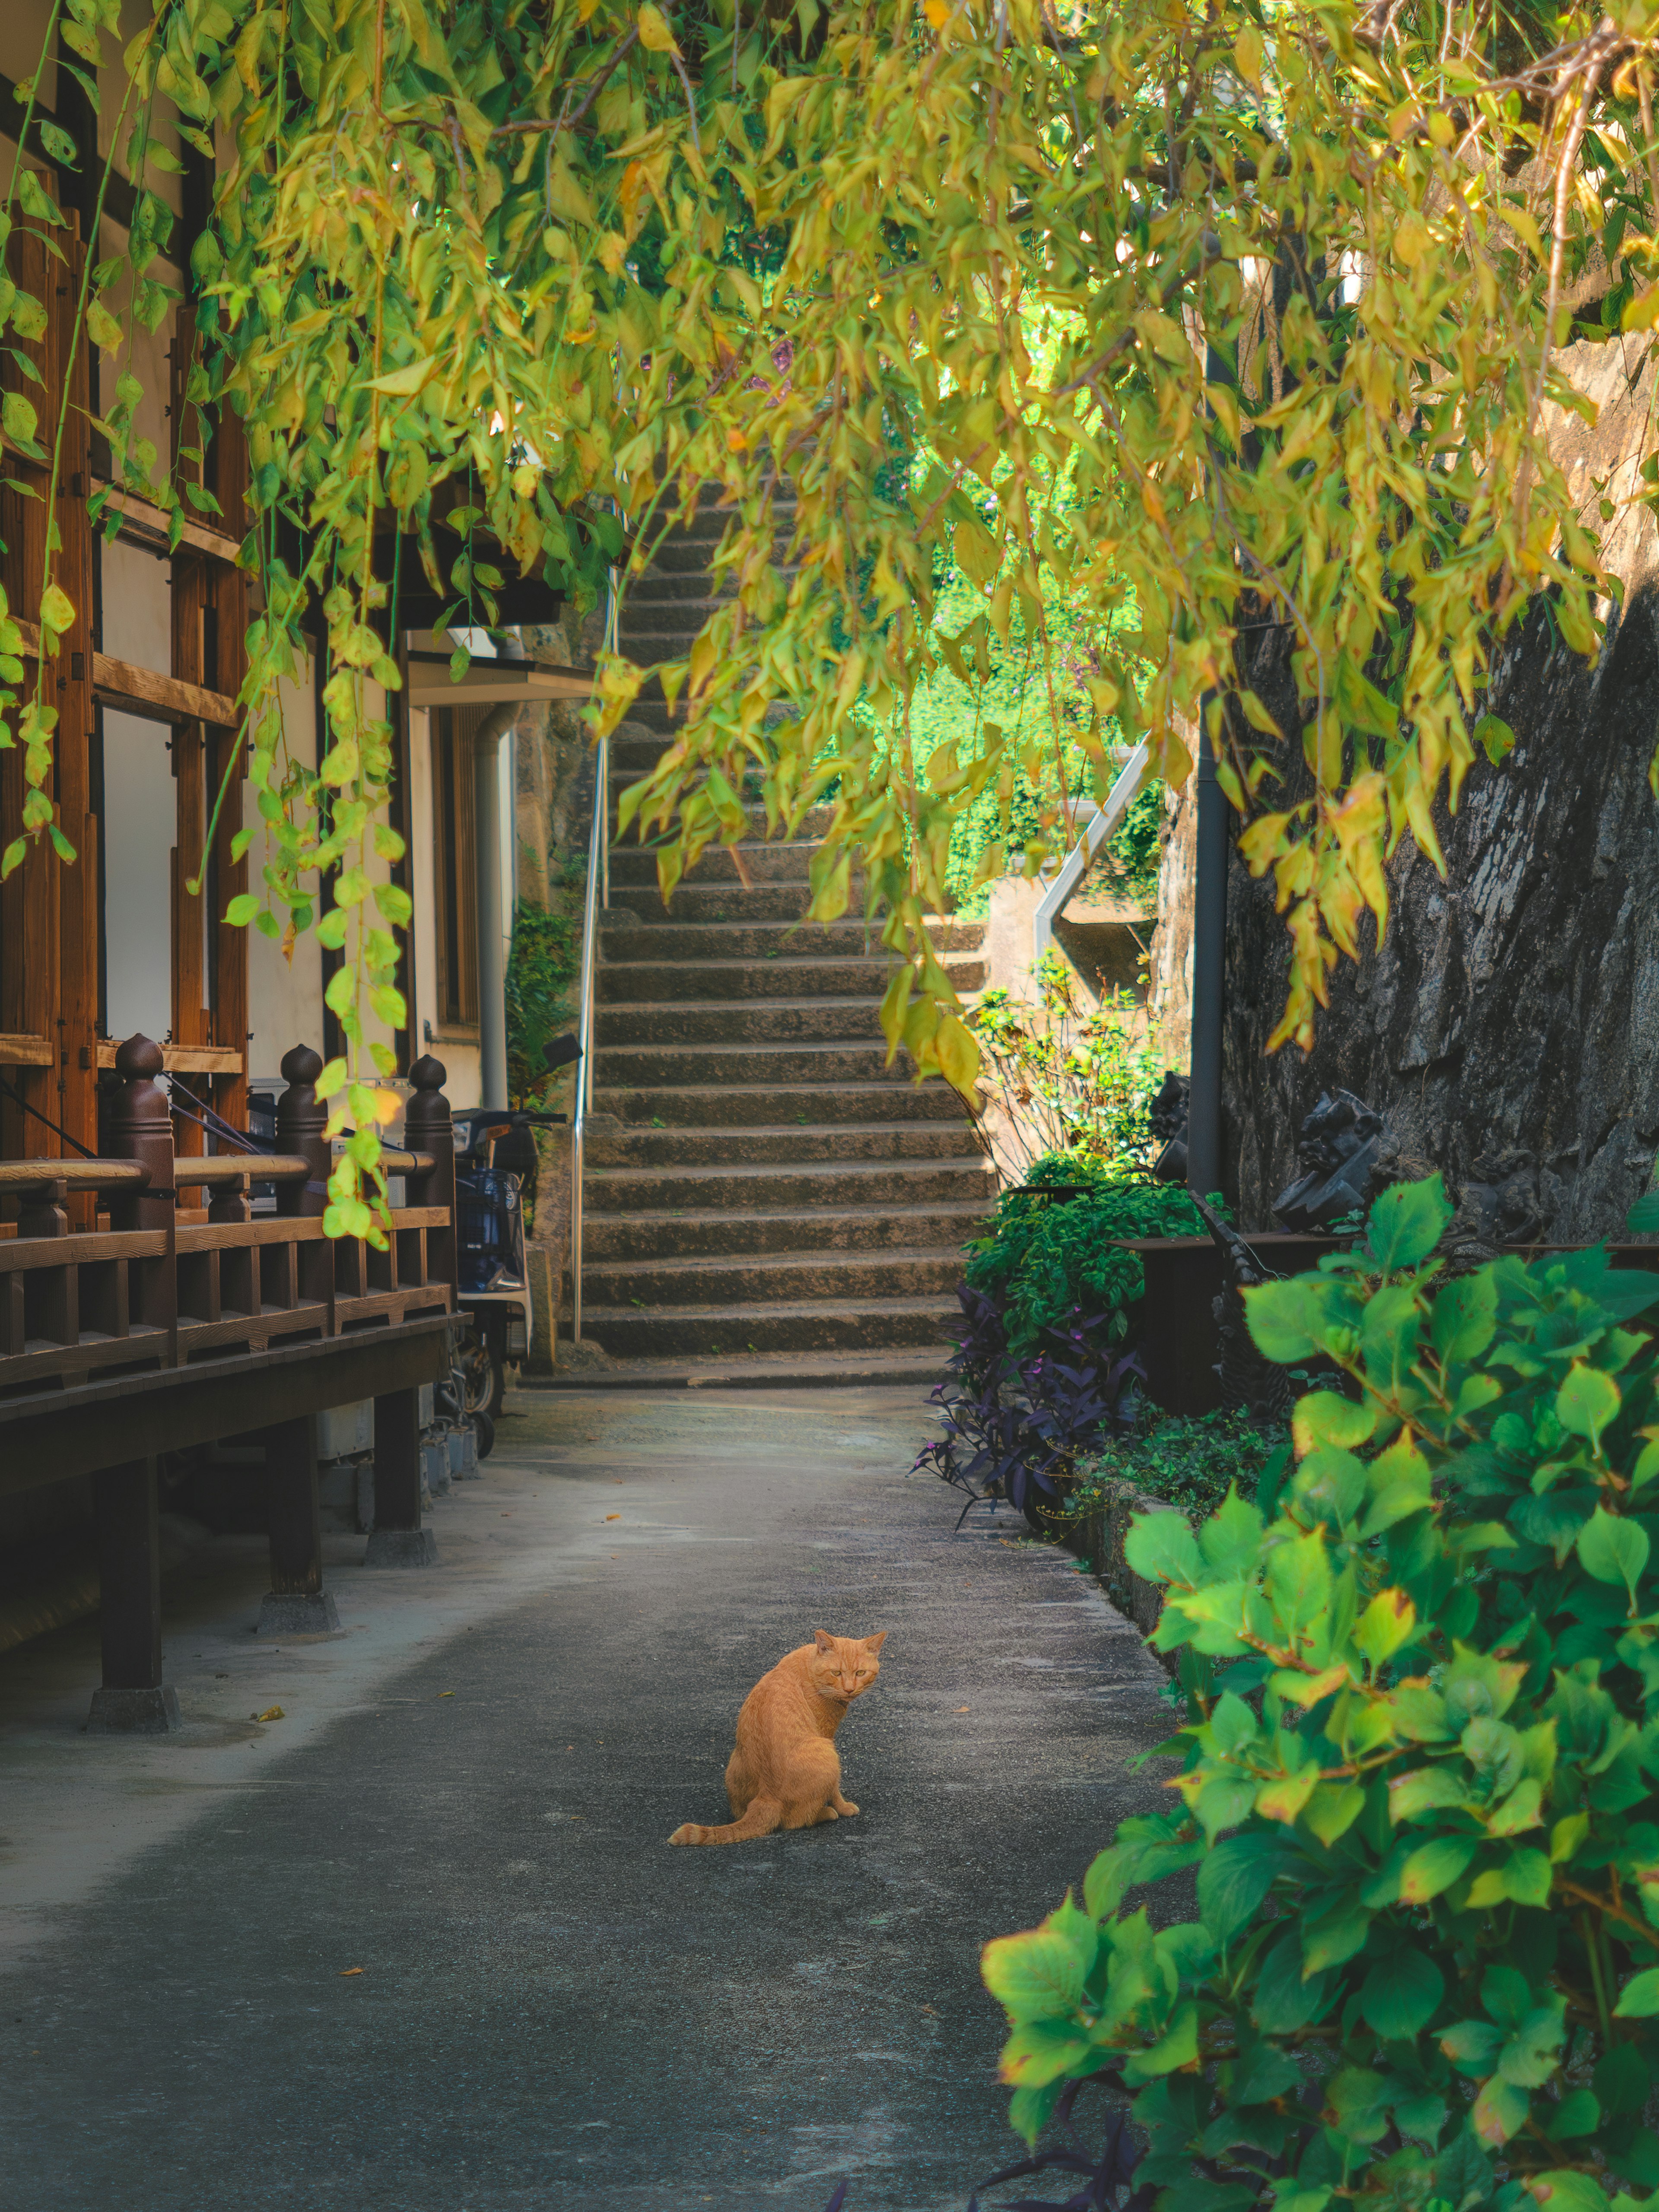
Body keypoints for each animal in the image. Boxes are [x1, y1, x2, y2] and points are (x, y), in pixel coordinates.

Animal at [668, 1628, 889, 1849]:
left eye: (860, 1673)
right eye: (836, 1673)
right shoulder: (826, 1734)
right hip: (828, 1753)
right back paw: (826, 1813)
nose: (849, 1689)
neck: (810, 1666)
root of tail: (767, 1797)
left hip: (734, 1764)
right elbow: (835, 1790)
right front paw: (844, 1807)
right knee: (796, 1821)